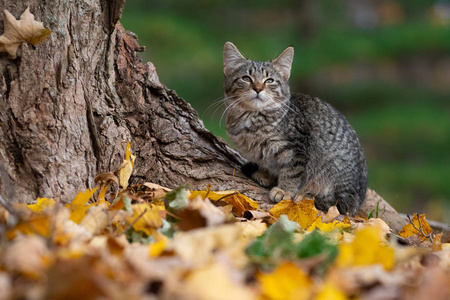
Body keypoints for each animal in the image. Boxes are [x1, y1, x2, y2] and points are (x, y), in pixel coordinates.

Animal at [223, 42, 368, 216]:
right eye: (246, 78)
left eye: (269, 80)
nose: (257, 88)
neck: (253, 118)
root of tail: (359, 199)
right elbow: (269, 163)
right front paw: (265, 174)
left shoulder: (295, 149)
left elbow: (292, 172)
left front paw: (285, 191)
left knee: (335, 205)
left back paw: (306, 196)